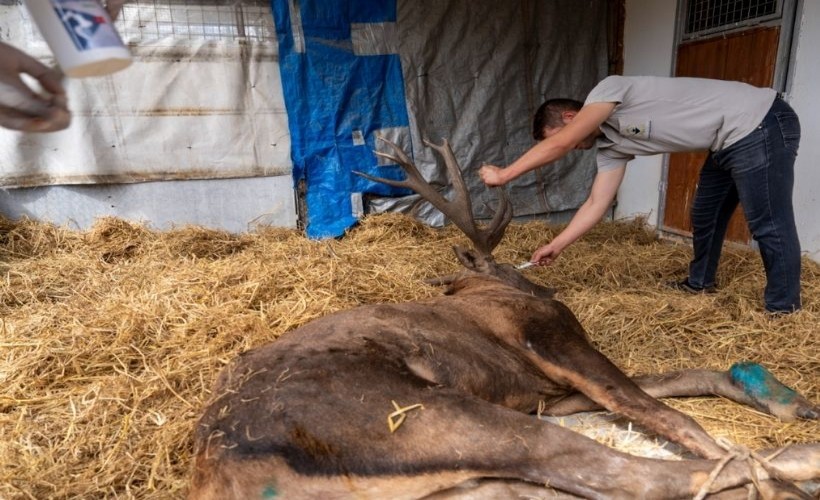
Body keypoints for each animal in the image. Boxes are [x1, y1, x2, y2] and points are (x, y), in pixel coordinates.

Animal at [189, 138, 816, 500]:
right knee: (631, 475)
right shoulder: (550, 340)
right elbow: (660, 410)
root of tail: (222, 469)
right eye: (510, 267)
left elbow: (673, 381)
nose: (544, 281)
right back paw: (793, 470)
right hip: (433, 417)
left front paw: (780, 399)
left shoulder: (546, 389)